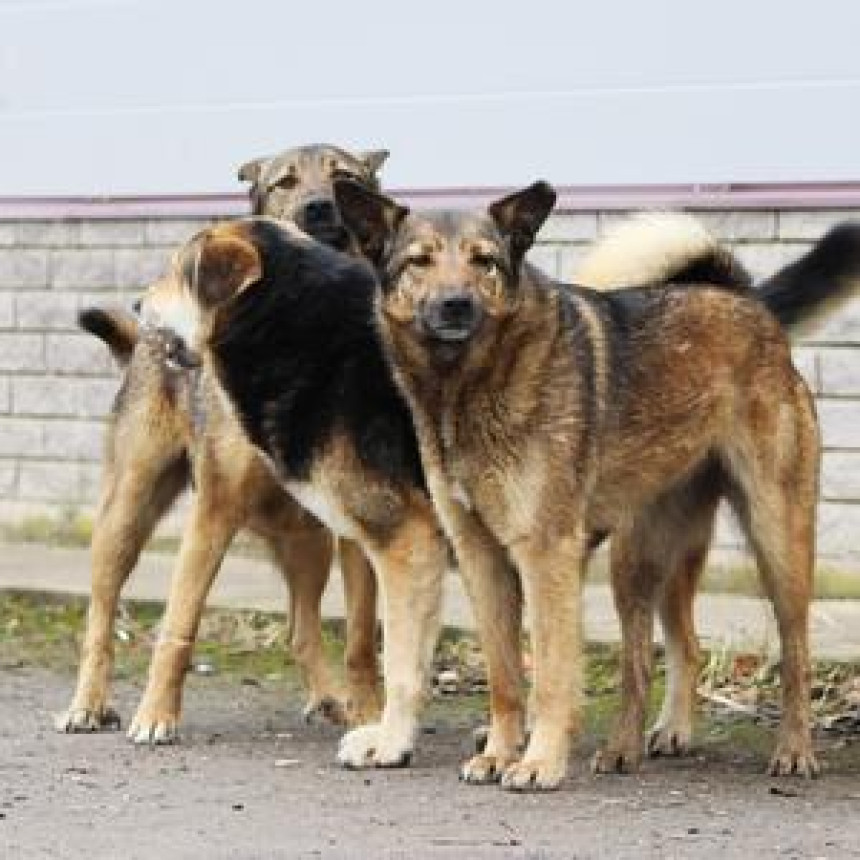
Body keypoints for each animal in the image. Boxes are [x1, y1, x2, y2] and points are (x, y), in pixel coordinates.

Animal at [61, 144, 394, 744]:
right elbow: (177, 626)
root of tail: (142, 342)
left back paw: (329, 698)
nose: (320, 208)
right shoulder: (213, 512)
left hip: (308, 538)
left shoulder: (357, 524)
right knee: (100, 616)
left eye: (345, 177)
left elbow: (360, 637)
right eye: (286, 182)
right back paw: (88, 703)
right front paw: (157, 715)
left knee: (301, 628)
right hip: (125, 515)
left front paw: (371, 714)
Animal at [330, 181, 860, 792]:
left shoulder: (545, 558)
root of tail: (748, 304)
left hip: (779, 545)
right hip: (638, 561)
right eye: (419, 261)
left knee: (795, 654)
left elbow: (551, 676)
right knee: (658, 655)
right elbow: (506, 678)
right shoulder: (482, 559)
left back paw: (794, 750)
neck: (467, 385)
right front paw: (499, 754)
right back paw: (631, 745)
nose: (456, 305)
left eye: (484, 261)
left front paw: (539, 762)